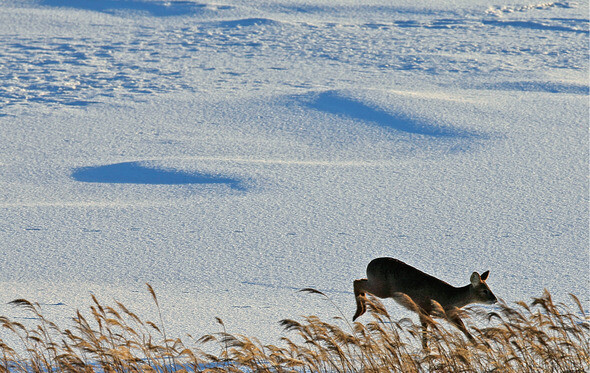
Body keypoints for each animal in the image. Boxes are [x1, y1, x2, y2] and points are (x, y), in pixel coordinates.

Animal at [354, 256, 498, 346]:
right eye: (484, 290)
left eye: (489, 288)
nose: (495, 299)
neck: (451, 298)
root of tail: (370, 263)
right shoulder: (424, 309)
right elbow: (425, 331)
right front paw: (426, 349)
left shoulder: (449, 315)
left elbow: (464, 329)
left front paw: (480, 345)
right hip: (382, 289)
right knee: (357, 282)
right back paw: (359, 312)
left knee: (359, 281)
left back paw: (361, 310)